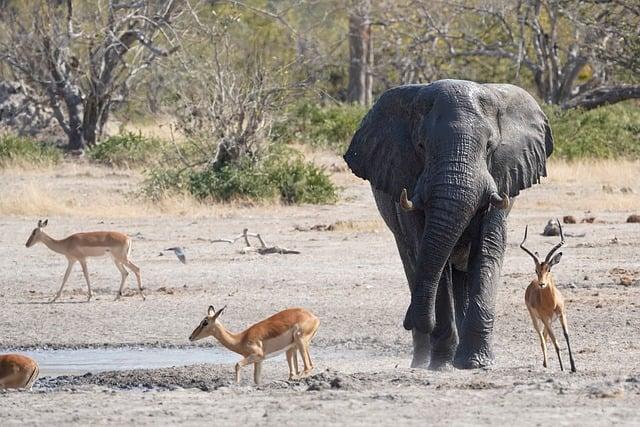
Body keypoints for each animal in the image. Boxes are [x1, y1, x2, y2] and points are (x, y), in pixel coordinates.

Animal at [342, 80, 552, 372]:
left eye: (489, 147)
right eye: (421, 146)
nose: (407, 319)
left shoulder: (502, 180)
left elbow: (487, 251)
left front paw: (476, 363)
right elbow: (431, 259)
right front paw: (441, 364)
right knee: (415, 265)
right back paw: (422, 362)